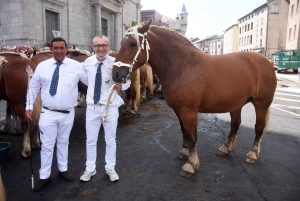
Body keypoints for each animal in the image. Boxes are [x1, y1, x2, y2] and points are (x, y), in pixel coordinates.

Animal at [112, 21, 276, 177]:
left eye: (133, 44)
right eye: (121, 43)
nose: (115, 74)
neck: (182, 66)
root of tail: (267, 61)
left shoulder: (189, 111)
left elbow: (192, 137)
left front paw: (191, 165)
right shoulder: (179, 110)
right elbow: (184, 132)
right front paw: (184, 153)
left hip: (261, 104)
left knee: (259, 128)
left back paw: (252, 154)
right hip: (236, 104)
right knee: (235, 125)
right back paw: (225, 148)